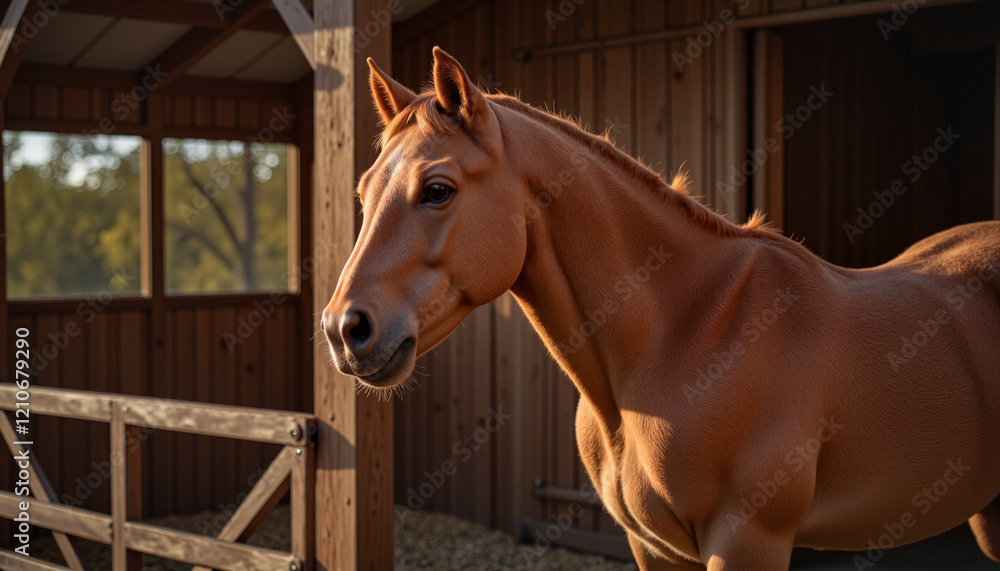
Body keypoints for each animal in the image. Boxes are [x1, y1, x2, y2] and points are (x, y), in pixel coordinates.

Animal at [321, 47, 1000, 570]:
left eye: (437, 190)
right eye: (363, 191)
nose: (344, 330)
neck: (688, 335)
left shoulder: (747, 541)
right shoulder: (653, 547)